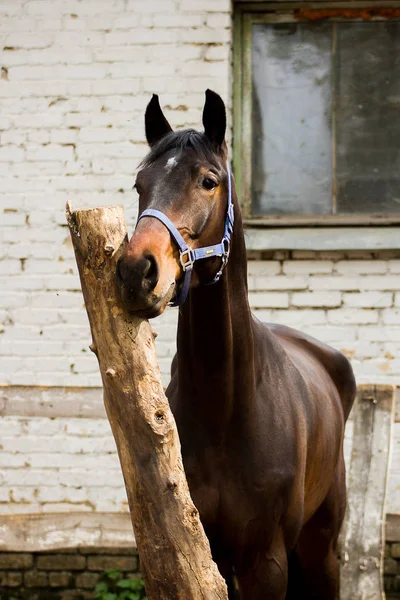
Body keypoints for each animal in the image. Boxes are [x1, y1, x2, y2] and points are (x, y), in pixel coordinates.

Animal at [115, 90, 356, 600]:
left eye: (208, 181)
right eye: (140, 184)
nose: (136, 271)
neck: (225, 407)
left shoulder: (266, 562)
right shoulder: (208, 553)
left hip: (321, 546)